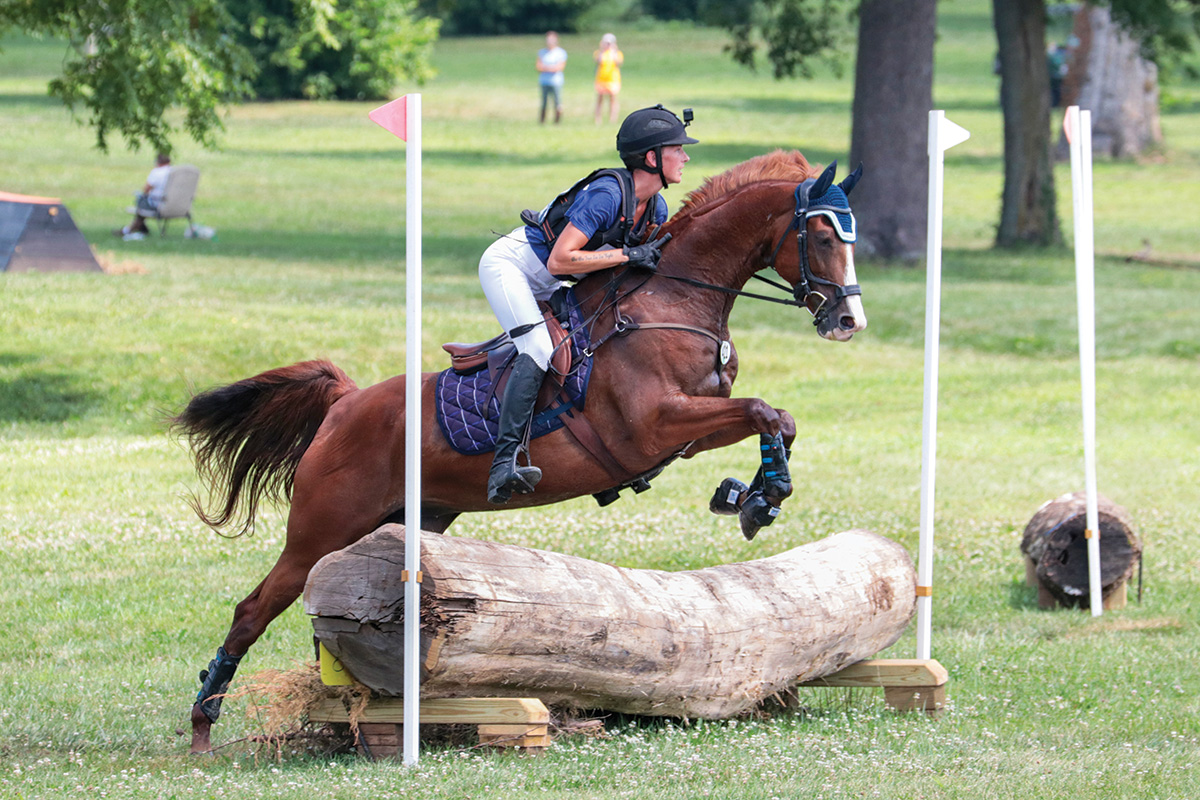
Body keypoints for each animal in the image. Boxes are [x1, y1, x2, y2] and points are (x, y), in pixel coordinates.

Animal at [174, 148, 868, 753]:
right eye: (823, 235)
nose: (848, 323)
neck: (672, 296)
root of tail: (345, 403)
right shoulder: (653, 427)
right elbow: (761, 411)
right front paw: (759, 498)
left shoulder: (691, 429)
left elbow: (776, 417)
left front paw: (755, 495)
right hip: (321, 528)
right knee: (252, 610)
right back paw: (204, 726)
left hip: (407, 523)